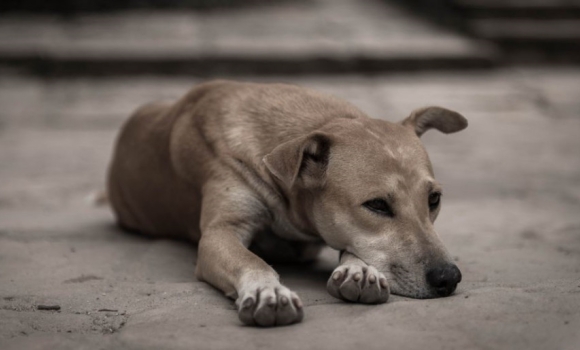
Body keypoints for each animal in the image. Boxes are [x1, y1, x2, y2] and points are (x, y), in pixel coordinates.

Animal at [106, 80, 468, 326]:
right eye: (377, 205)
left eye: (434, 200)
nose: (448, 277)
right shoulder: (220, 232)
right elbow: (249, 260)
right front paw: (268, 290)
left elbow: (351, 246)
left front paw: (359, 269)